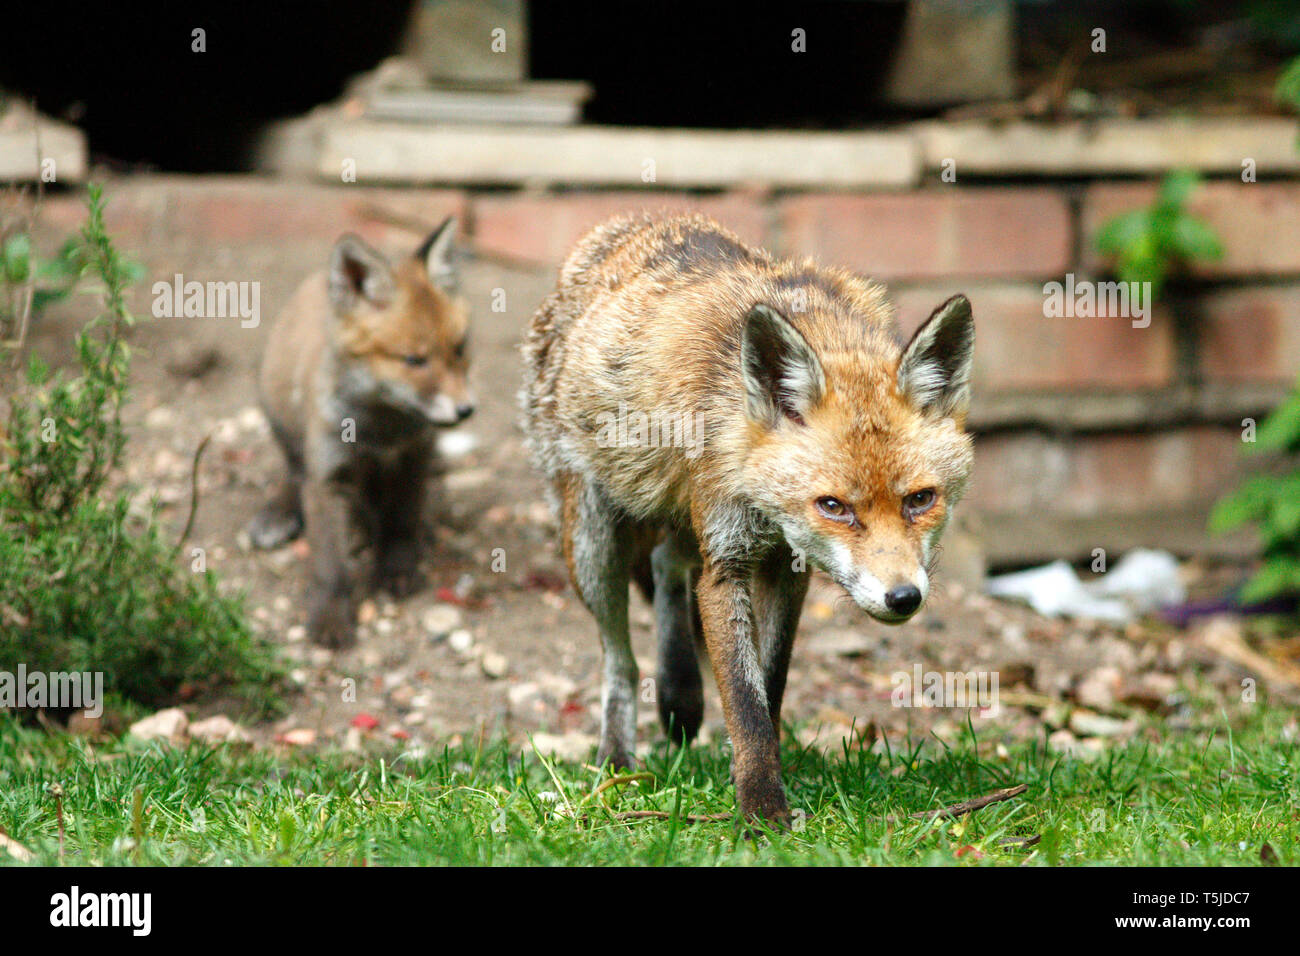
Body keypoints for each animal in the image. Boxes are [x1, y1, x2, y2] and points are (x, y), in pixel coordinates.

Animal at [248, 221, 473, 647]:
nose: (466, 409)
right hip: (283, 421)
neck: (380, 431)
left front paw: (397, 570)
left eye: (459, 349)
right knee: (293, 472)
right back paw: (282, 510)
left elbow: (401, 522)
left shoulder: (412, 458)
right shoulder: (328, 476)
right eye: (414, 360)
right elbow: (330, 563)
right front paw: (330, 616)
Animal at [522, 214, 972, 822]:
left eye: (920, 500)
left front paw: (759, 775)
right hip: (593, 542)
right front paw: (762, 808)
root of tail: (623, 225)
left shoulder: (786, 566)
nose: (903, 598)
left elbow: (769, 684)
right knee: (620, 662)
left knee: (665, 563)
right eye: (834, 506)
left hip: (684, 518)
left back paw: (679, 691)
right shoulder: (728, 561)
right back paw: (617, 758)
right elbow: (743, 697)